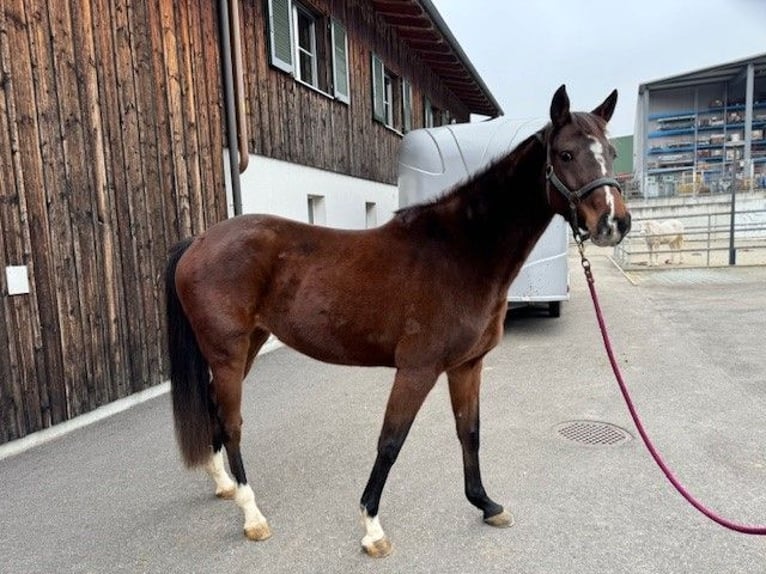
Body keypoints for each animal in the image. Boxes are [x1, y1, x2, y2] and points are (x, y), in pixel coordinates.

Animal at [165, 85, 632, 560]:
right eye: (567, 153)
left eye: (611, 152)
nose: (615, 223)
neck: (460, 252)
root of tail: (199, 240)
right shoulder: (417, 370)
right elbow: (390, 442)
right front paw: (372, 527)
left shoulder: (467, 366)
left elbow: (470, 432)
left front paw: (485, 504)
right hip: (228, 351)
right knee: (232, 421)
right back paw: (252, 514)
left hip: (251, 343)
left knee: (214, 406)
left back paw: (223, 483)